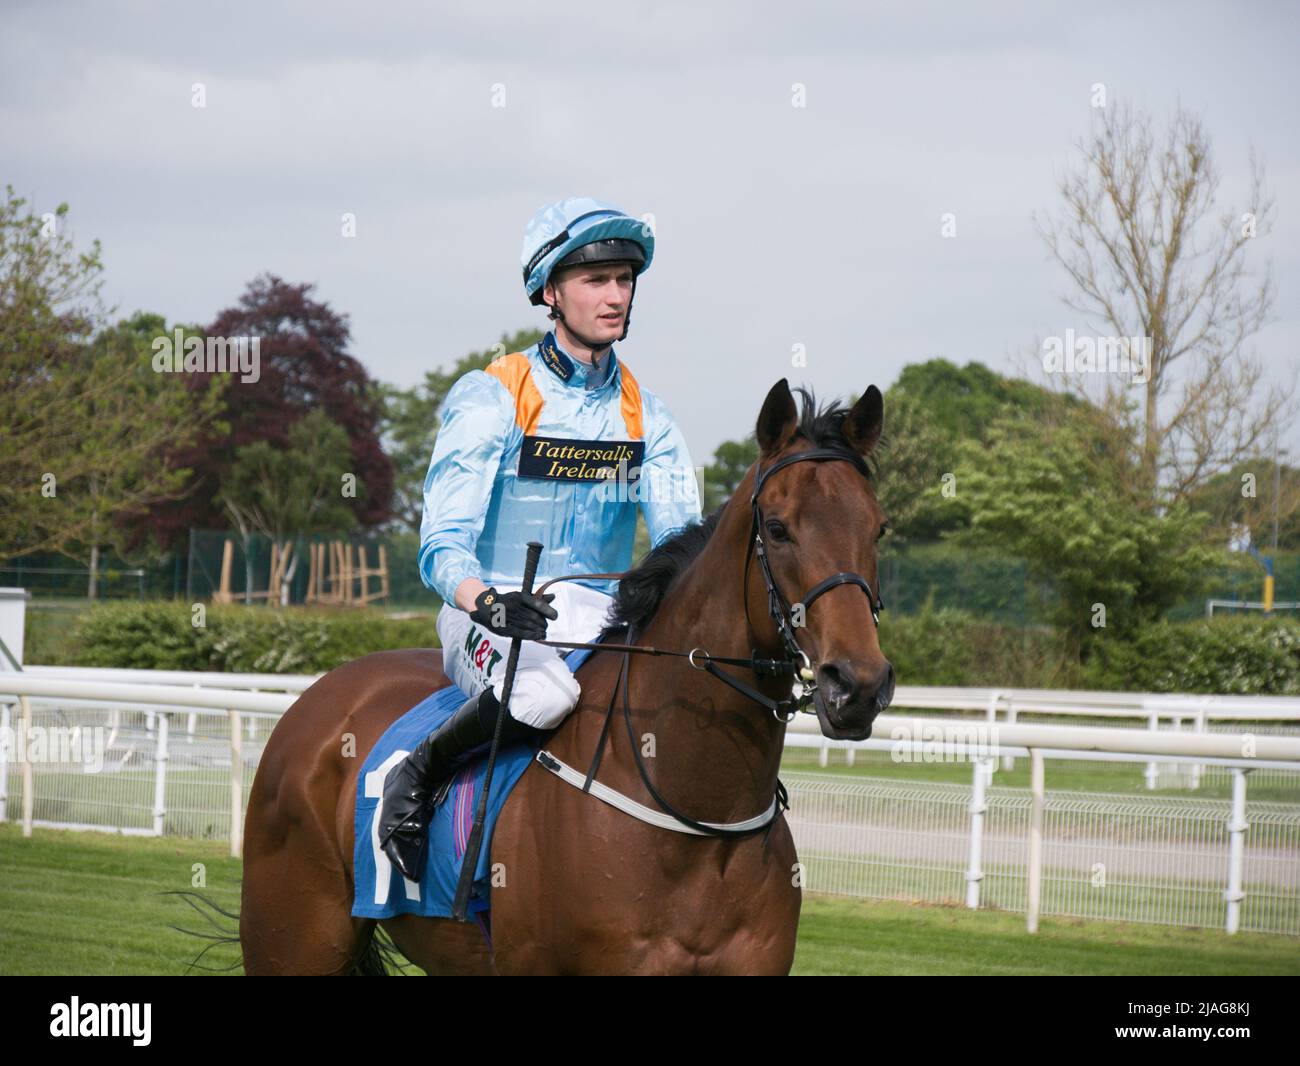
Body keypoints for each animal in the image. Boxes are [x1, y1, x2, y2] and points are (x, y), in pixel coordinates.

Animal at [241, 377, 894, 972]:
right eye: (778, 528)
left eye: (878, 527)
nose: (857, 684)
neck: (700, 818)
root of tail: (318, 698)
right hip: (293, 937)